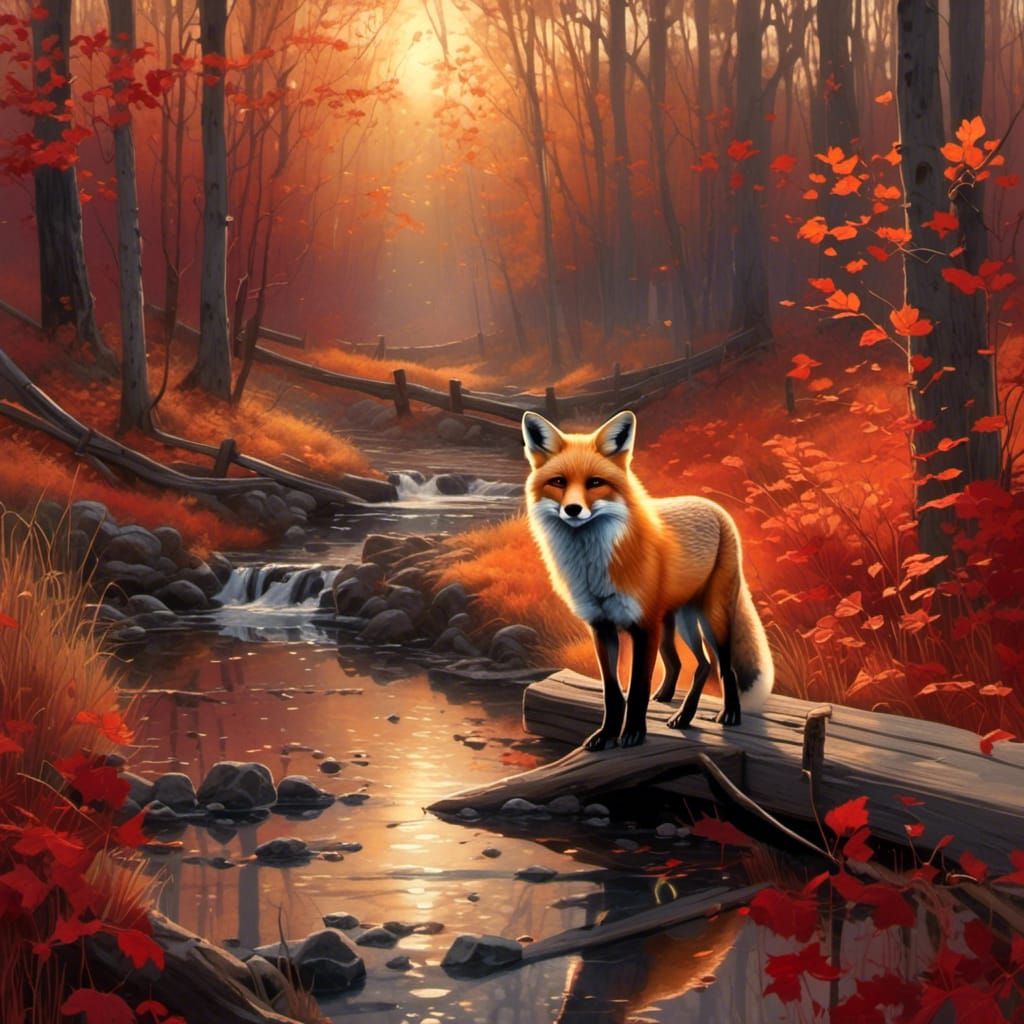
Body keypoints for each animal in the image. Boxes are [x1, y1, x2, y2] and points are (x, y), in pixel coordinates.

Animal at [522, 409, 773, 751]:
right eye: (558, 482)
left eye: (595, 483)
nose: (572, 509)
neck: (594, 566)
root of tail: (715, 508)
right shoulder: (601, 626)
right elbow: (613, 692)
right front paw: (606, 734)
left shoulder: (644, 626)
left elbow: (637, 689)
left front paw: (632, 734)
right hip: (677, 621)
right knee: (694, 664)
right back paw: (678, 710)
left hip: (710, 618)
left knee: (724, 666)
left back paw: (729, 714)